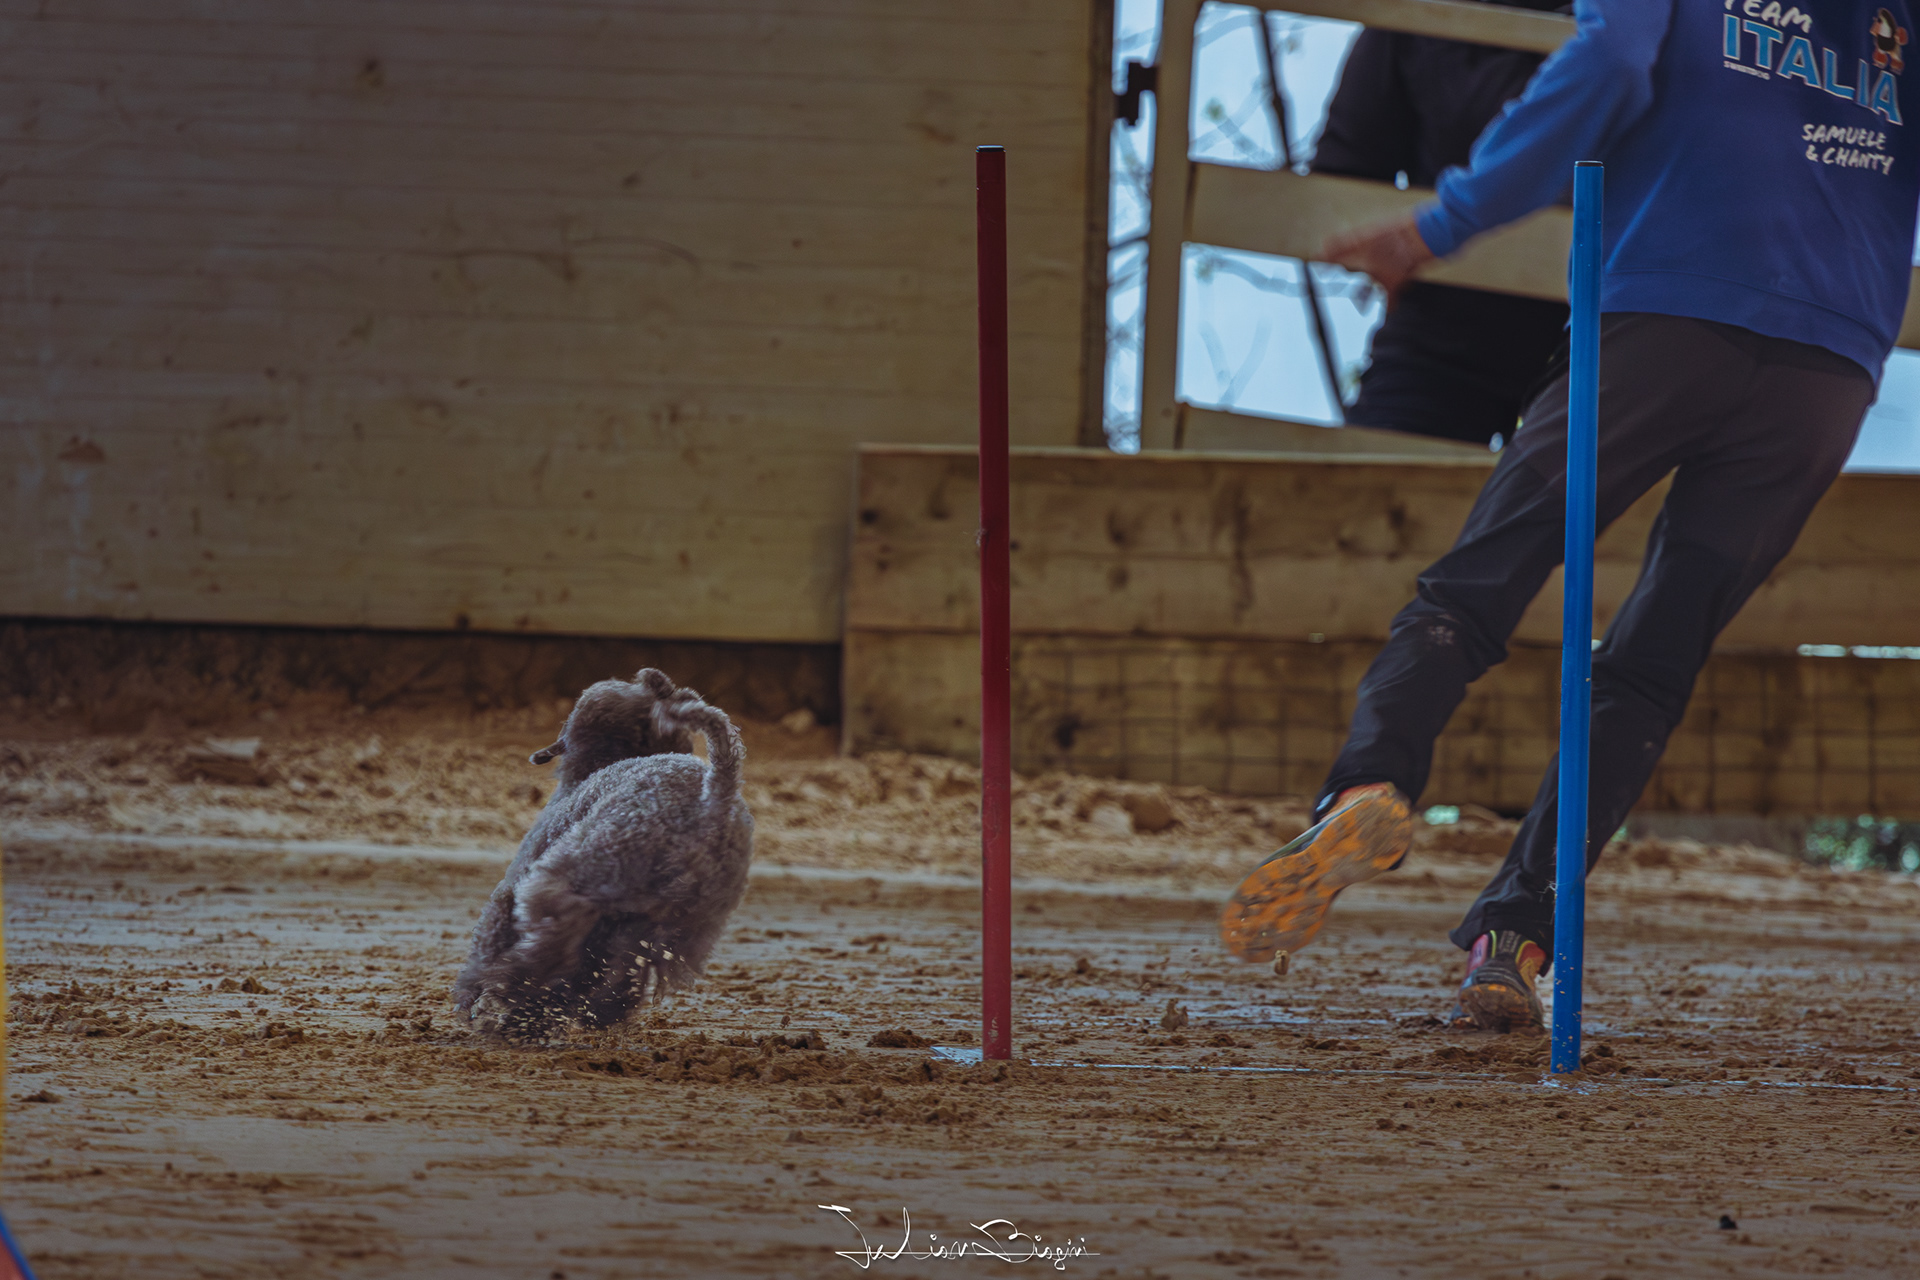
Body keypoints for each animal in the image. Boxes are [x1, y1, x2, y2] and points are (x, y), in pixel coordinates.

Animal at [452, 668, 754, 1039]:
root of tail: (716, 795)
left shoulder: (514, 886)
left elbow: (492, 934)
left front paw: (475, 995)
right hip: (675, 929)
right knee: (616, 979)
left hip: (581, 875)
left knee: (553, 943)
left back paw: (506, 1000)